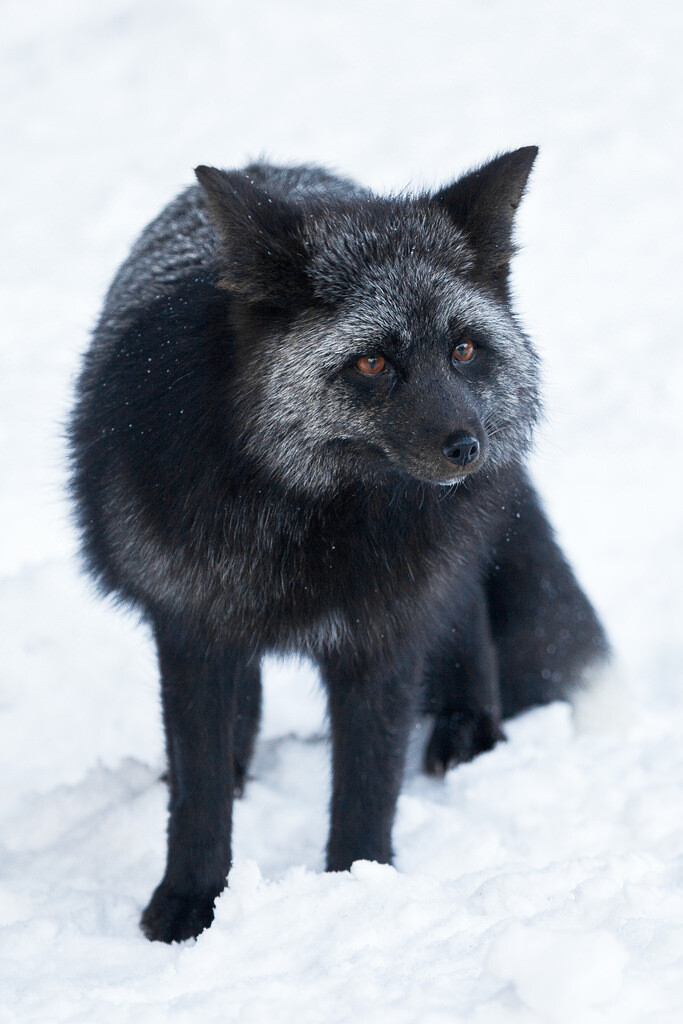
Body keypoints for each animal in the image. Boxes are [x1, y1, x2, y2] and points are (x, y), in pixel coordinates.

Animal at [69, 146, 610, 942]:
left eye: (464, 349)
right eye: (373, 363)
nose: (467, 448)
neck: (320, 520)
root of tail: (280, 165)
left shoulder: (383, 633)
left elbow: (367, 786)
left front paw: (360, 890)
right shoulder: (192, 628)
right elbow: (200, 794)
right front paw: (189, 904)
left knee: (466, 608)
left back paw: (468, 733)